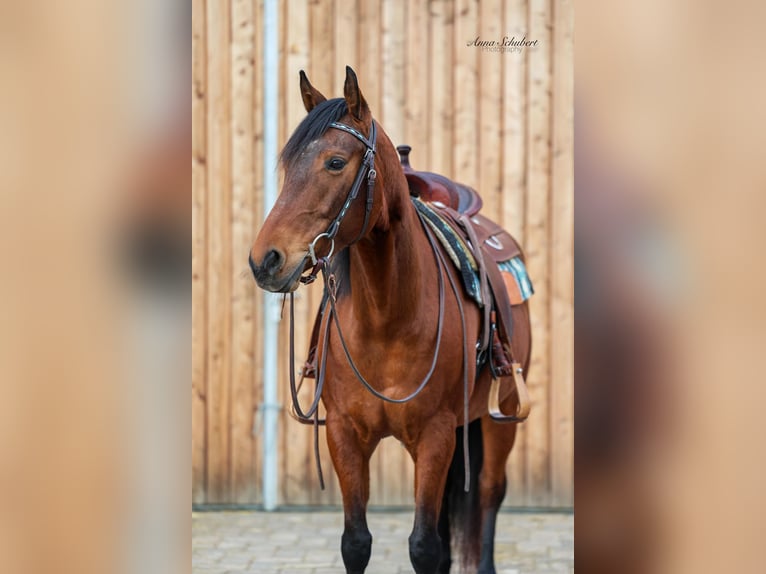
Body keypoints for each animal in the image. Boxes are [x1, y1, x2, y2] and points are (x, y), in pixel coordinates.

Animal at [249, 66, 531, 574]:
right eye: (286, 166)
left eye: (335, 162)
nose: (265, 260)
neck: (388, 318)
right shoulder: (344, 434)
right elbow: (357, 542)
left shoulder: (435, 435)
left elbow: (423, 545)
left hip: (501, 416)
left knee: (487, 495)